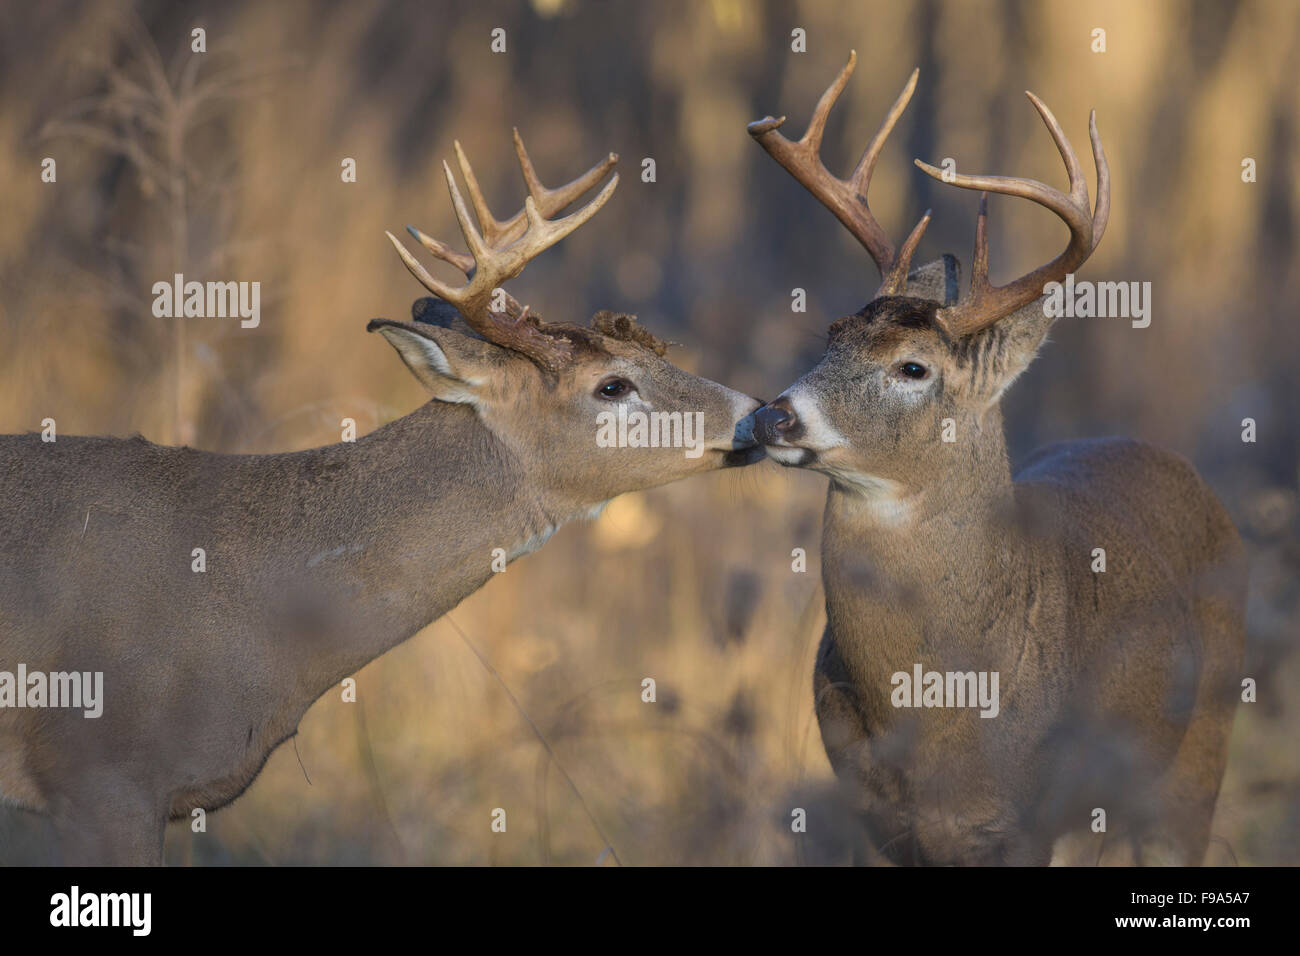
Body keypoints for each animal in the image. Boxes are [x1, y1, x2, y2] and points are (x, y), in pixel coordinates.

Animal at [747, 52, 1245, 865]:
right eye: (833, 332)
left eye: (914, 368)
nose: (771, 415)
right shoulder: (876, 821)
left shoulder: (1023, 820)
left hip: (1199, 753)